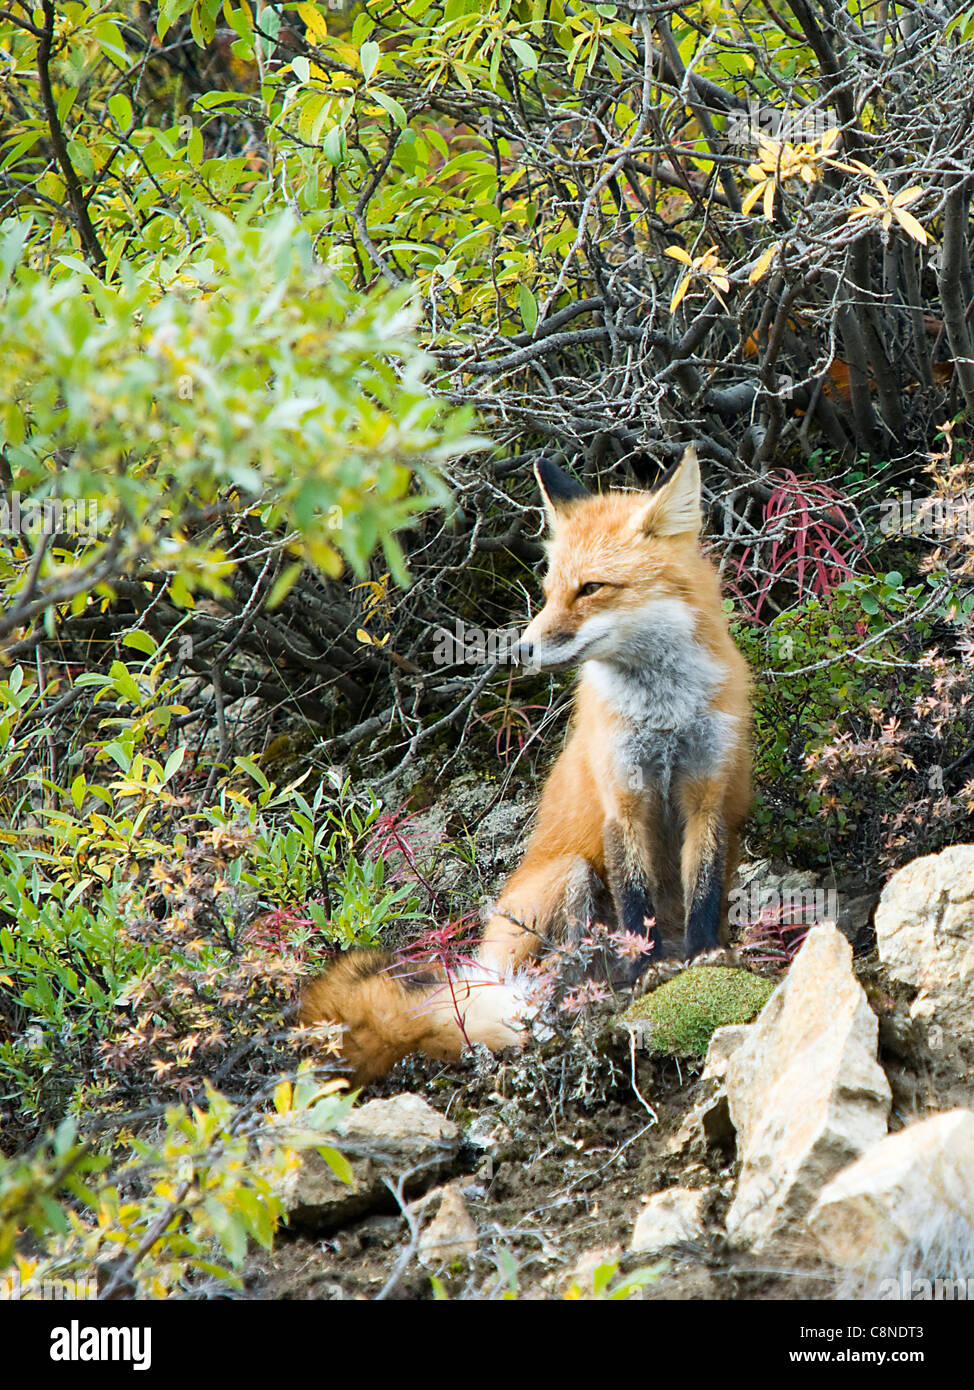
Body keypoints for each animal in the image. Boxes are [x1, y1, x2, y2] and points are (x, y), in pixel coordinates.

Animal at [300, 447, 750, 1084]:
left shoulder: (707, 793)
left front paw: (707, 961)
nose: (521, 650)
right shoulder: (623, 801)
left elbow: (705, 892)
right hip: (568, 877)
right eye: (550, 589)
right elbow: (637, 911)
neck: (663, 713)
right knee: (533, 991)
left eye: (590, 588)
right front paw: (646, 974)